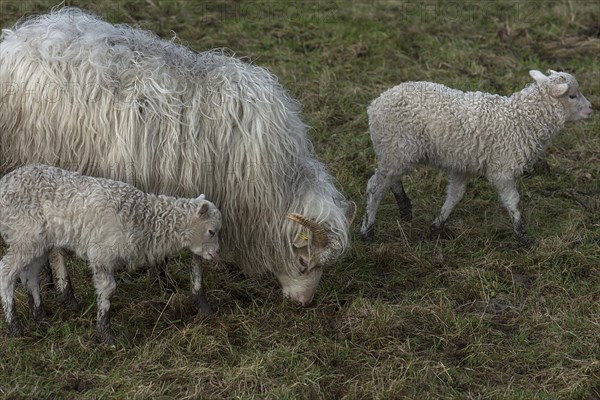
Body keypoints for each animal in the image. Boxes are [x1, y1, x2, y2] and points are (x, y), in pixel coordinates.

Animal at [0, 7, 356, 306]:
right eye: (303, 262)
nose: (304, 303)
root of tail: (14, 41)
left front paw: (161, 279)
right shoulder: (202, 191)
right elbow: (196, 249)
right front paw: (191, 293)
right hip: (47, 158)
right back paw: (66, 292)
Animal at [0, 163, 220, 344]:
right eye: (211, 231)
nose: (215, 254)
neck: (143, 219)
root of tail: (4, 183)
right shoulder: (101, 253)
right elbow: (107, 289)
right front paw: (106, 334)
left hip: (39, 243)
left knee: (30, 277)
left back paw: (41, 318)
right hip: (24, 235)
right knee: (6, 272)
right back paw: (14, 326)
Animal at [360, 69, 592, 241]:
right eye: (572, 95)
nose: (591, 108)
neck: (522, 119)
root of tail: (374, 105)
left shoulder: (464, 164)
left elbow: (454, 195)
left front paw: (437, 225)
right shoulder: (502, 167)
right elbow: (512, 200)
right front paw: (522, 233)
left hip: (396, 150)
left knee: (391, 178)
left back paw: (405, 207)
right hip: (396, 146)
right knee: (375, 187)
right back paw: (367, 230)